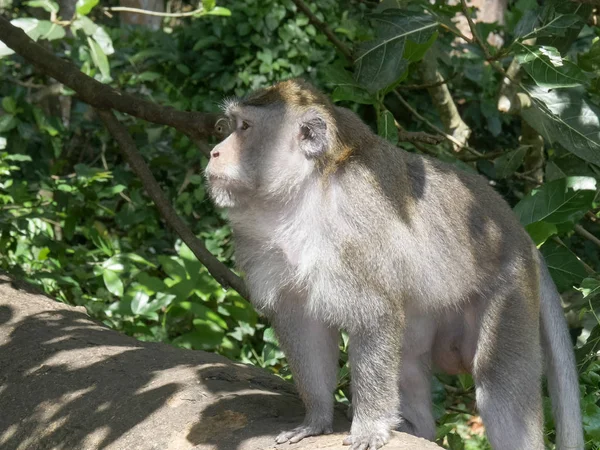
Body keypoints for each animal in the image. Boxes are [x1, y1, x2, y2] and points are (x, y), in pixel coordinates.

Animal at [204, 79, 584, 448]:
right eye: (229, 126)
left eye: (245, 128)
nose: (214, 152)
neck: (303, 195)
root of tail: (520, 235)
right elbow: (303, 323)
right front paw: (315, 421)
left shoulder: (358, 216)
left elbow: (375, 315)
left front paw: (369, 427)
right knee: (408, 358)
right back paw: (416, 428)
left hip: (511, 292)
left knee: (499, 386)